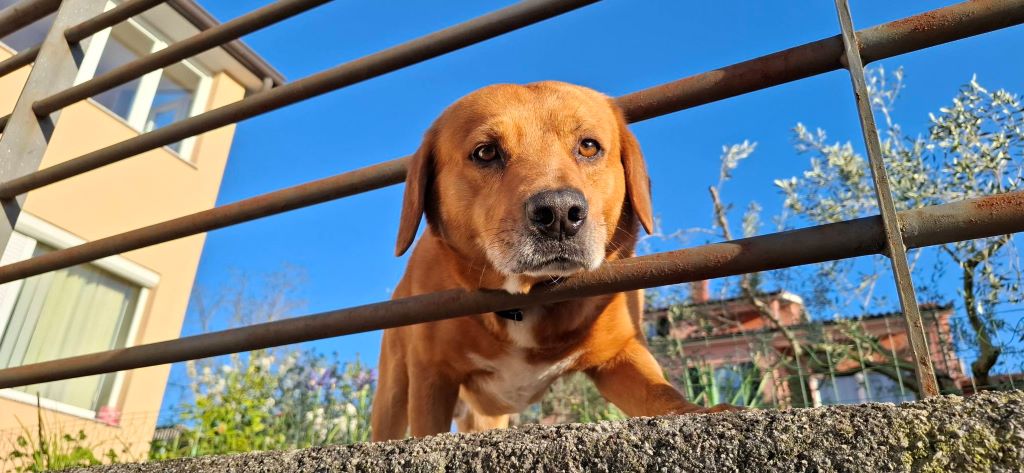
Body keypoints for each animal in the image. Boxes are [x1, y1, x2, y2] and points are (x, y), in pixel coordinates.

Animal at [371, 81, 735, 441]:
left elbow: (661, 394)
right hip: (392, 394)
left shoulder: (622, 355)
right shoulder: (432, 378)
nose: (560, 213)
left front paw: (703, 412)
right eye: (486, 152)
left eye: (588, 146)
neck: (526, 300)